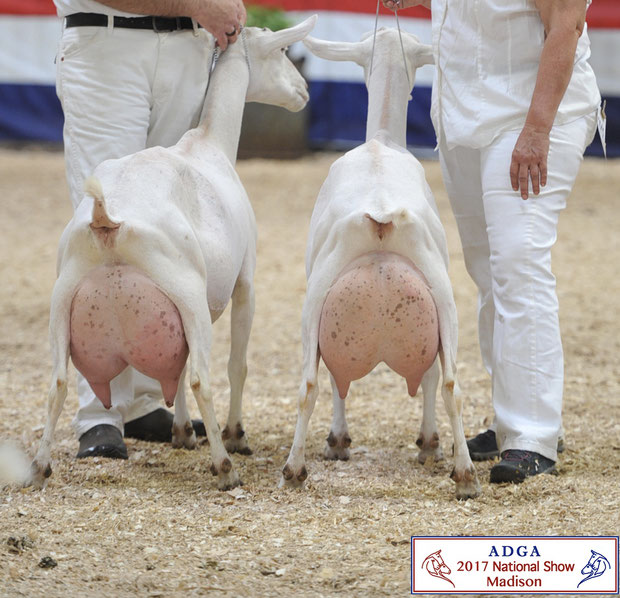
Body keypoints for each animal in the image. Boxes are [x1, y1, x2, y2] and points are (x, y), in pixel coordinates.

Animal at [280, 28, 480, 500]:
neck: (382, 140)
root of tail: (381, 215)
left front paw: (339, 441)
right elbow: (429, 375)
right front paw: (428, 444)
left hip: (318, 297)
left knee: (312, 382)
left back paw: (295, 468)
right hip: (443, 297)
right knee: (450, 382)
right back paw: (465, 474)